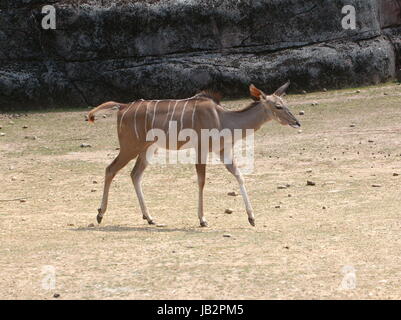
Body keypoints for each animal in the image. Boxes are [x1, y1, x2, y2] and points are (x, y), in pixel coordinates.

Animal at [88, 82, 300, 228]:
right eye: (278, 106)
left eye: (285, 103)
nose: (296, 122)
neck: (223, 119)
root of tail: (122, 107)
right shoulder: (201, 149)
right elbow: (201, 180)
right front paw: (203, 219)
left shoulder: (222, 151)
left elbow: (239, 176)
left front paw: (252, 218)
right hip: (130, 146)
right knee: (110, 169)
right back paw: (100, 214)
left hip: (148, 149)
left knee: (135, 174)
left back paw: (149, 218)